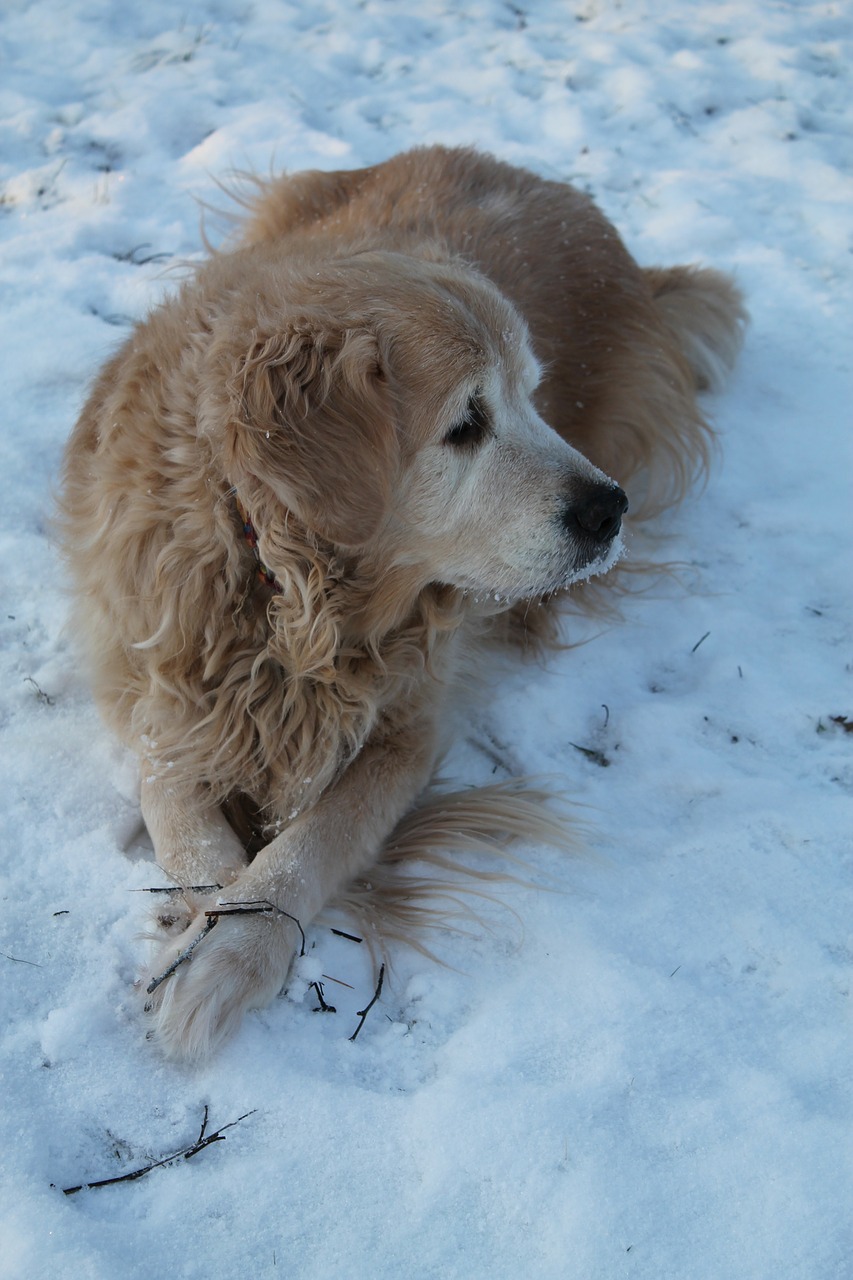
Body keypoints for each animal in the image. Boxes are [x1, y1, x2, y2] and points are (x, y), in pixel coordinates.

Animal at [59, 145, 742, 1059]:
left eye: (533, 396)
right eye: (465, 424)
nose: (609, 511)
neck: (280, 581)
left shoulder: (409, 729)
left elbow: (309, 846)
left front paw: (228, 951)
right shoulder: (159, 695)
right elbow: (181, 820)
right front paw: (201, 915)